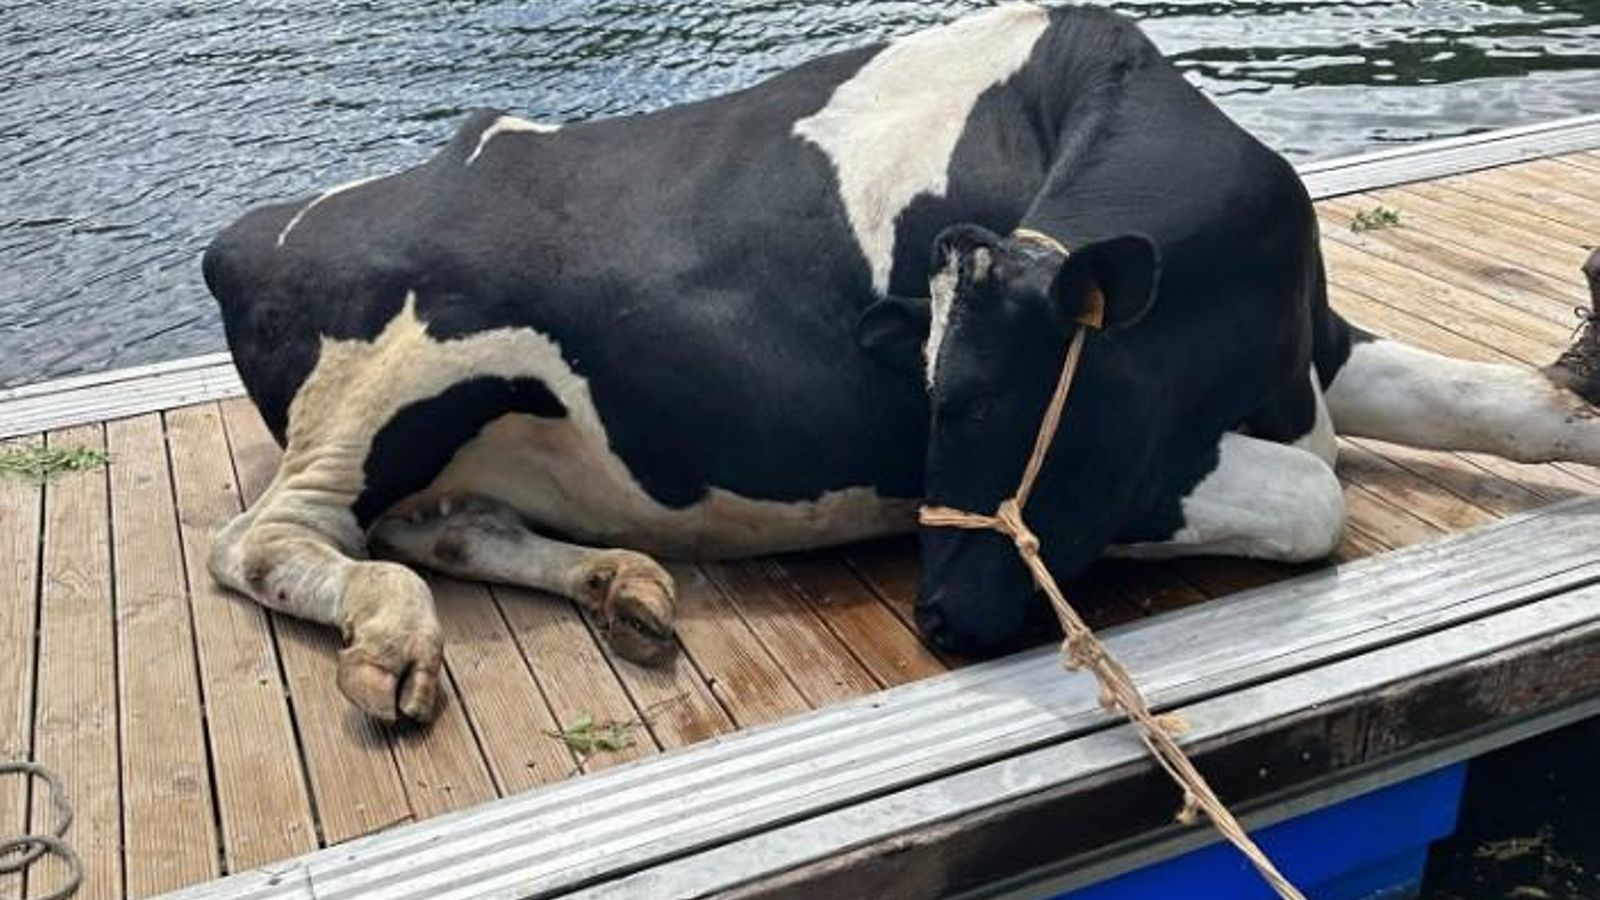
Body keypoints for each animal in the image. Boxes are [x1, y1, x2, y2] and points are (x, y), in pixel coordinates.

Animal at [201, 2, 1600, 723]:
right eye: (939, 407)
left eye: (983, 400)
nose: (935, 620)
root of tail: (243, 231)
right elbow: (1311, 496)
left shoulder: (1317, 346)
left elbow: (1511, 405)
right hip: (390, 376)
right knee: (267, 545)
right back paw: (393, 639)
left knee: (442, 524)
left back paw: (622, 588)